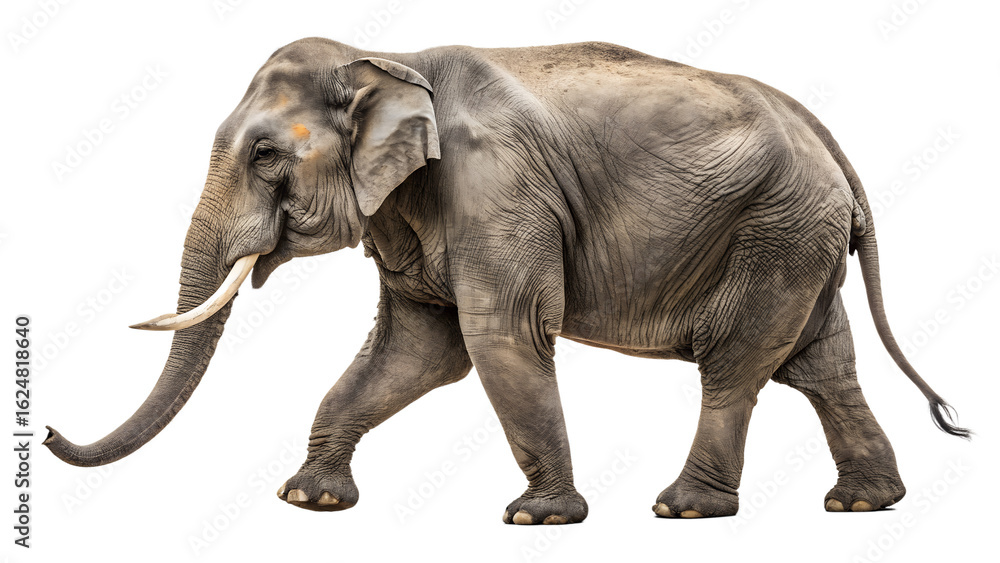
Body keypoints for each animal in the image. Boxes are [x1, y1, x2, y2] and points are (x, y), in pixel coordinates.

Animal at [45, 38, 969, 525]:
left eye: (267, 154)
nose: (48, 429)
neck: (387, 59)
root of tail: (827, 140)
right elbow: (416, 350)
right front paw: (308, 499)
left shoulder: (495, 192)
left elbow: (499, 338)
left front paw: (538, 518)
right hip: (797, 237)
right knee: (820, 362)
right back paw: (865, 504)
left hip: (774, 229)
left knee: (738, 362)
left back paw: (683, 509)